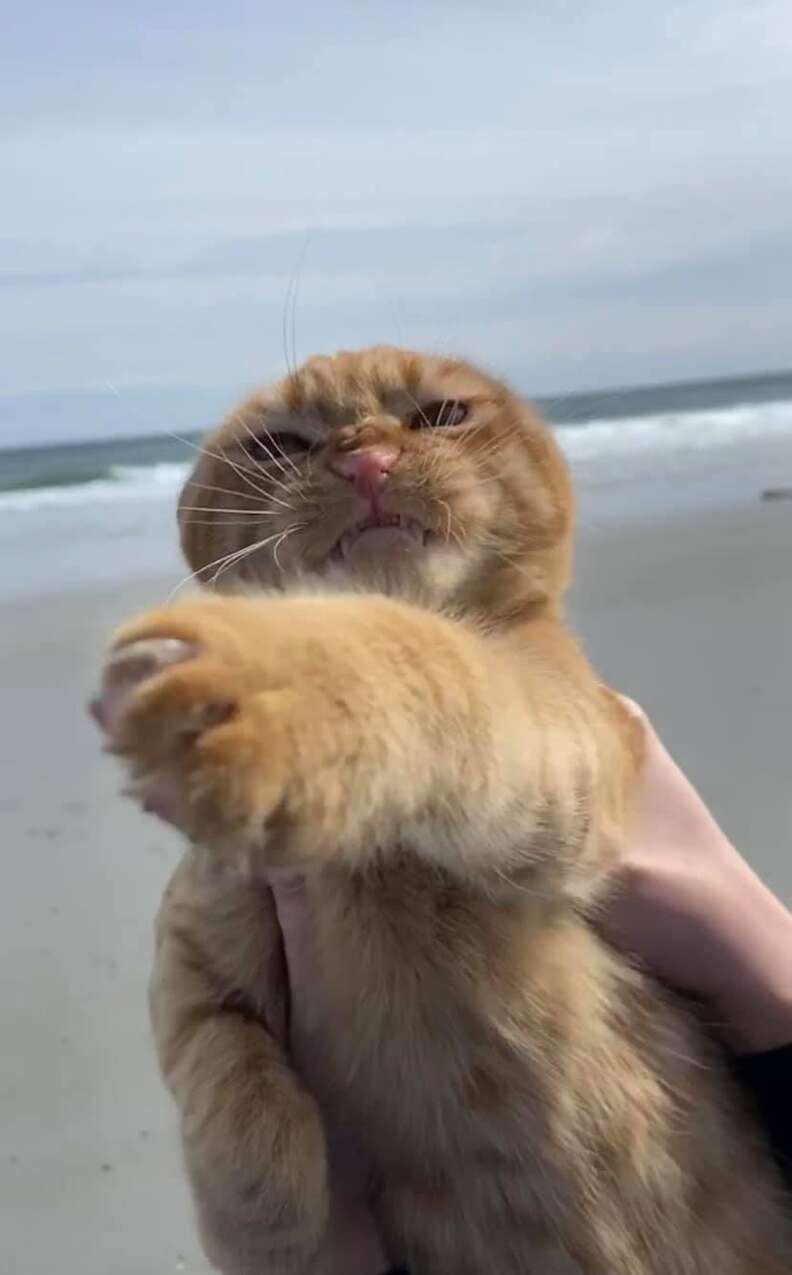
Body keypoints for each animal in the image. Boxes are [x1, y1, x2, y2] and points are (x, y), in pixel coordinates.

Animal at [94, 344, 790, 1269]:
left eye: (440, 415)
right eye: (279, 444)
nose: (364, 458)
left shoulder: (557, 738)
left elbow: (420, 650)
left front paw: (277, 678)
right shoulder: (190, 946)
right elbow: (213, 1057)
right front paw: (266, 1197)